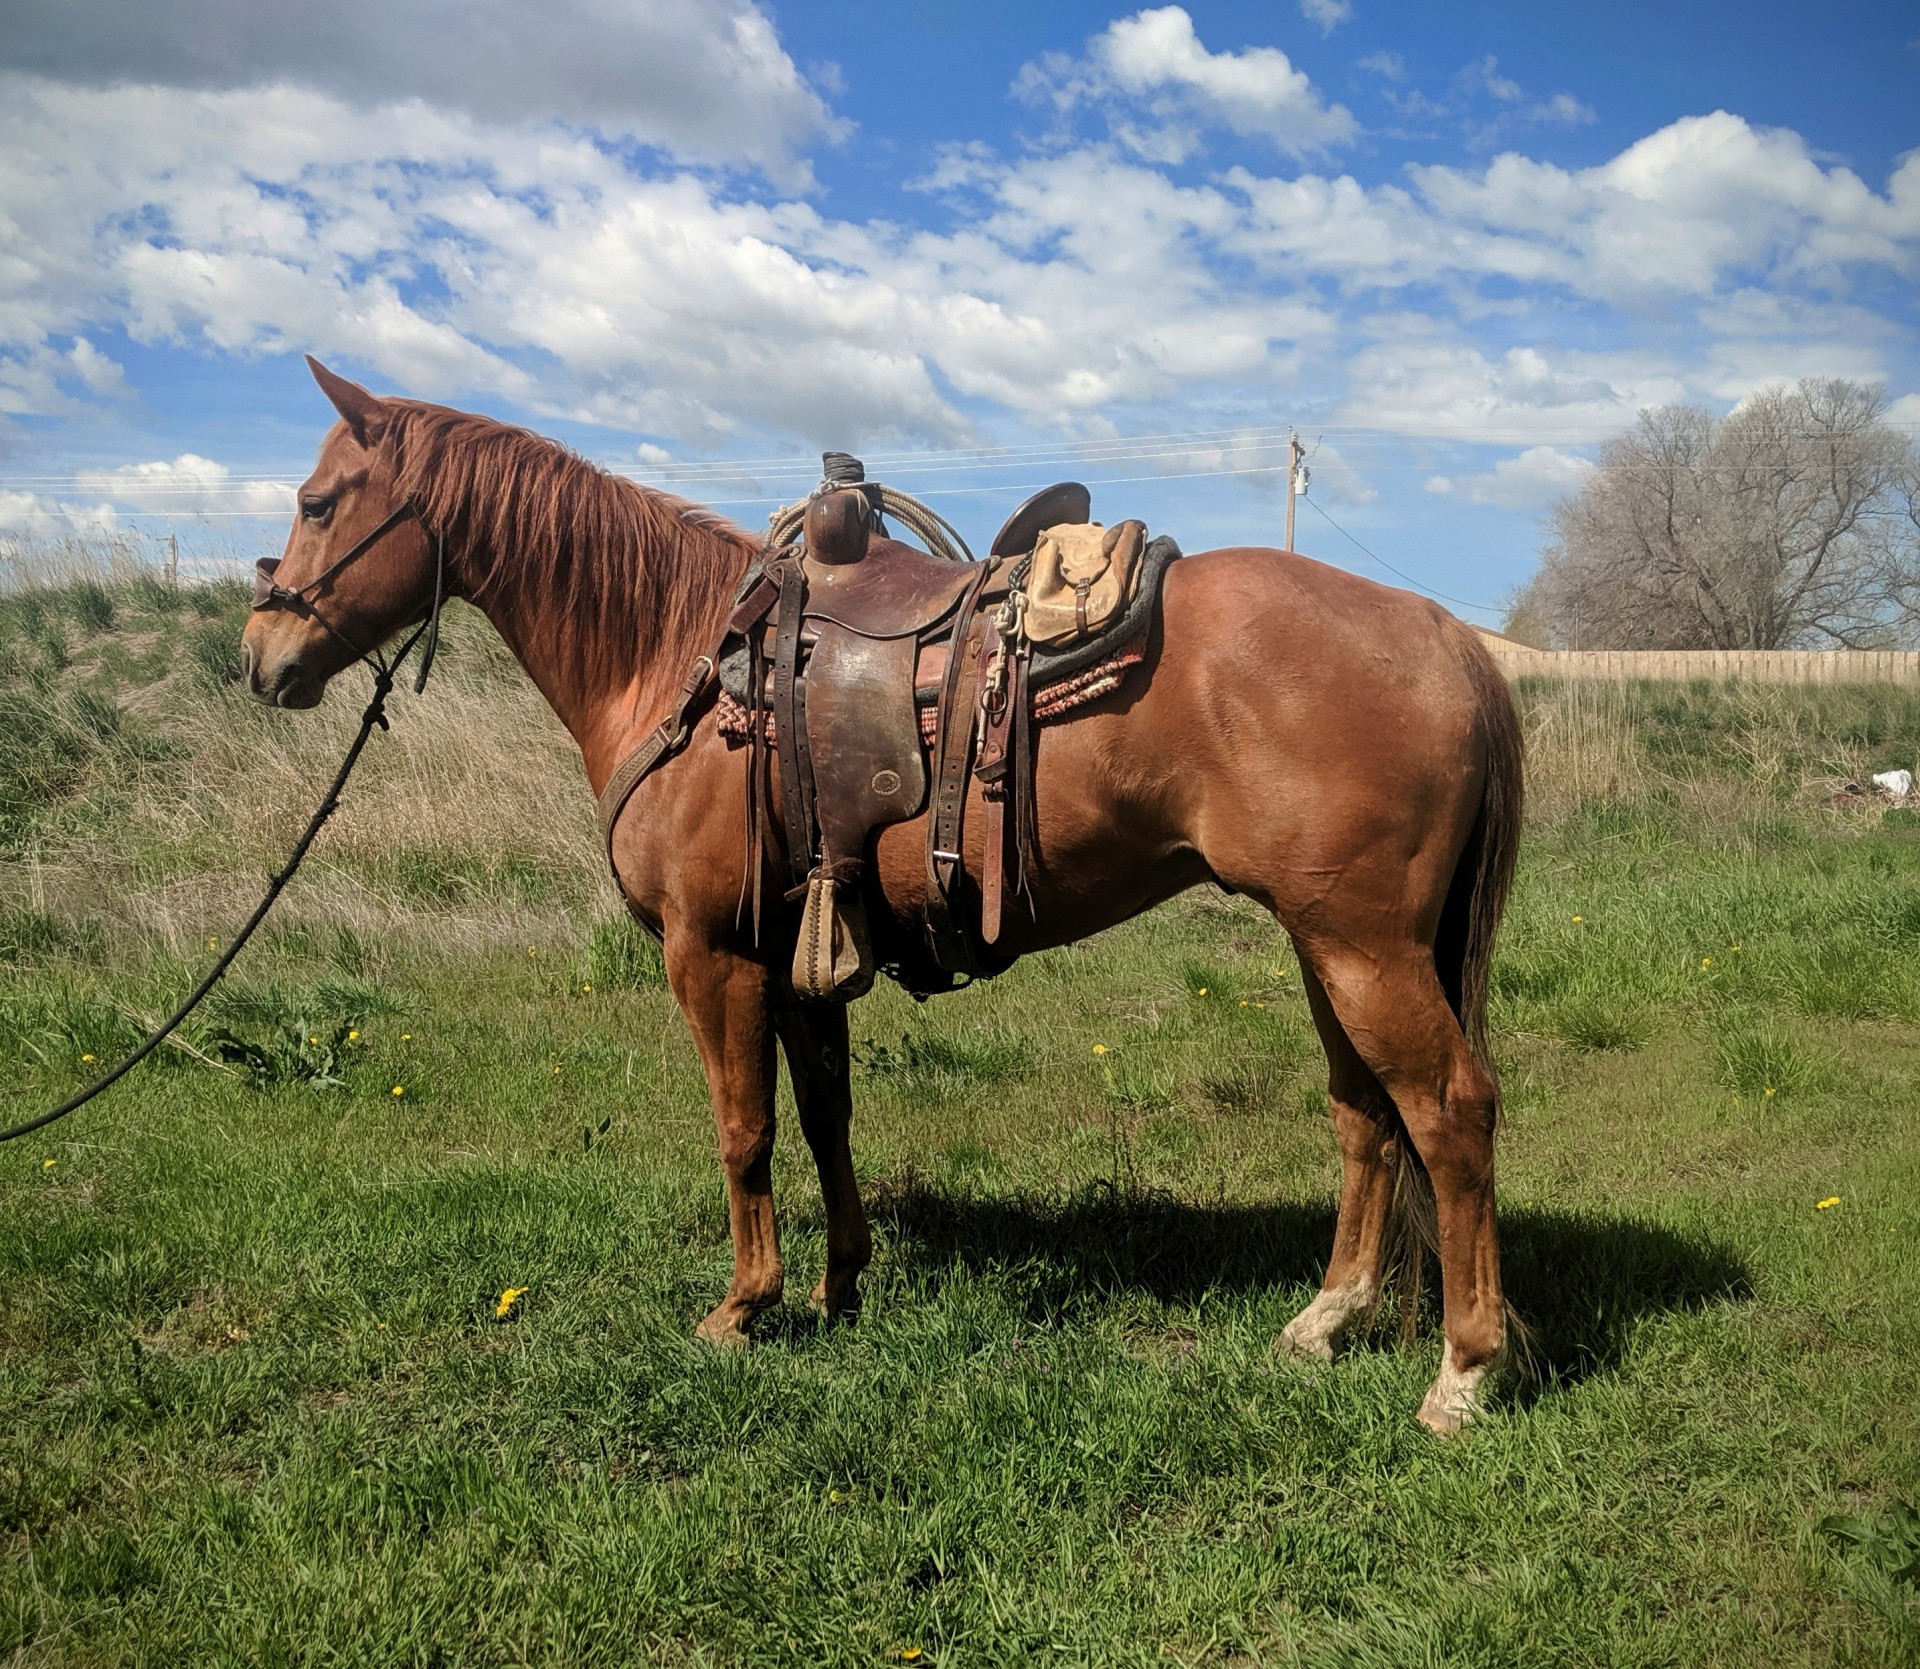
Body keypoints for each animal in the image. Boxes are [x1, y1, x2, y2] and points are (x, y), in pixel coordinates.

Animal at [240, 364, 1520, 1428]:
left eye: (319, 502)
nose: (260, 657)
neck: (679, 656)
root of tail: (1449, 634)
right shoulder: (800, 954)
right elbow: (824, 1118)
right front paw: (837, 1286)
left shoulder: (711, 954)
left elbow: (744, 1129)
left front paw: (743, 1307)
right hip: (1329, 945)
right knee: (1365, 1113)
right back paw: (1326, 1320)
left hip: (1365, 949)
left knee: (1449, 1110)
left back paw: (1463, 1372)